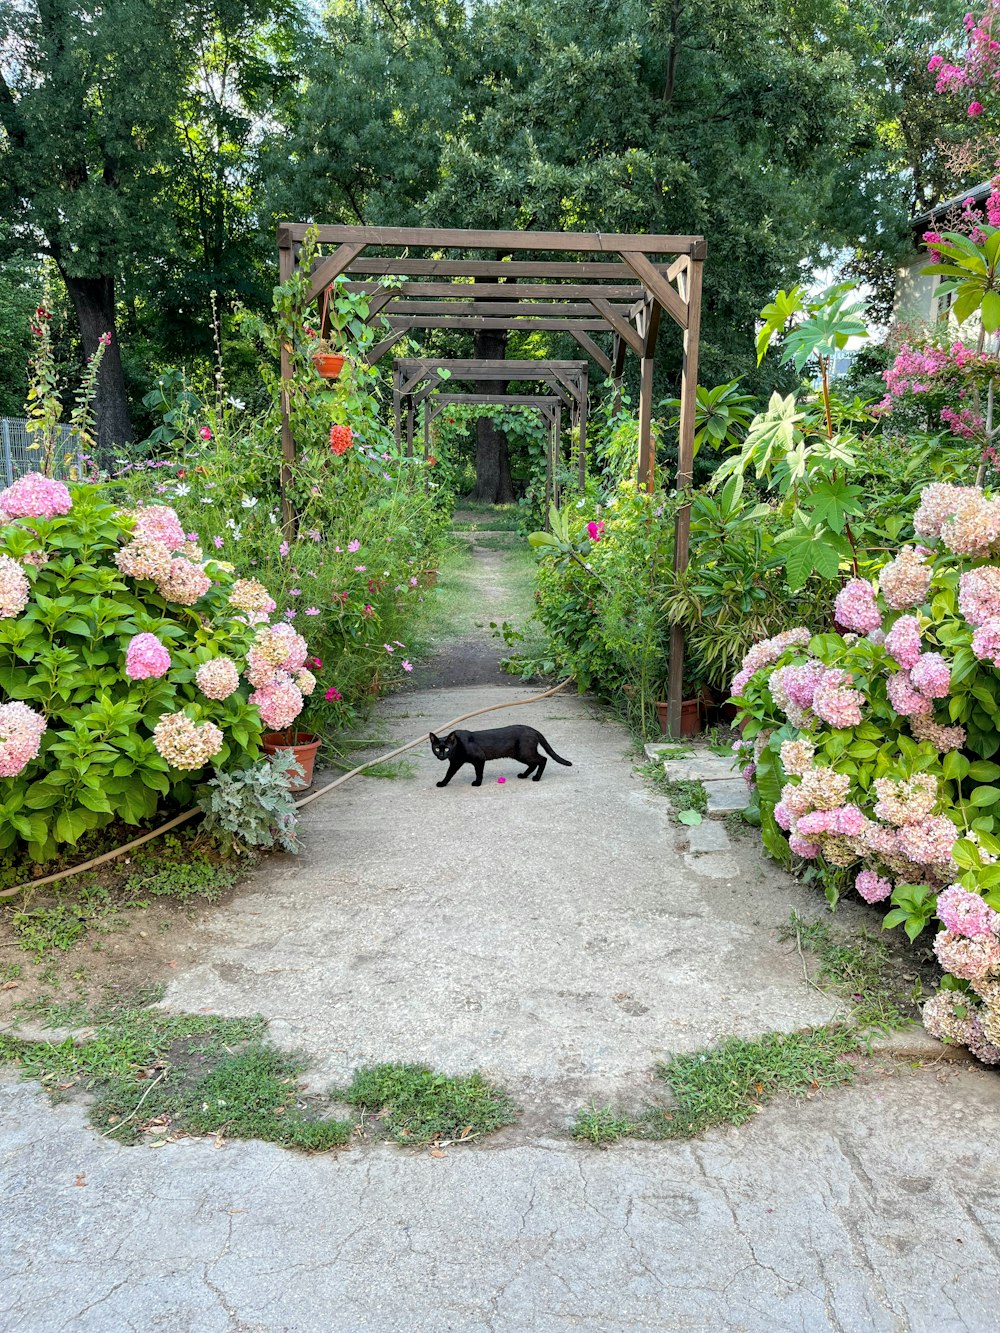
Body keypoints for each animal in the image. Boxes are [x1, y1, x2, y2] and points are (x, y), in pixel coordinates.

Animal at [429, 725, 576, 783]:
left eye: (446, 749)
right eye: (436, 749)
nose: (441, 756)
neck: (457, 746)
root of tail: (532, 729)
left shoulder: (479, 759)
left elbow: (479, 772)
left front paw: (477, 783)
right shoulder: (455, 763)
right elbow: (449, 774)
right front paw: (443, 783)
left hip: (525, 753)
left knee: (543, 759)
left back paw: (536, 778)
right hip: (520, 754)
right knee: (534, 763)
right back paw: (524, 775)